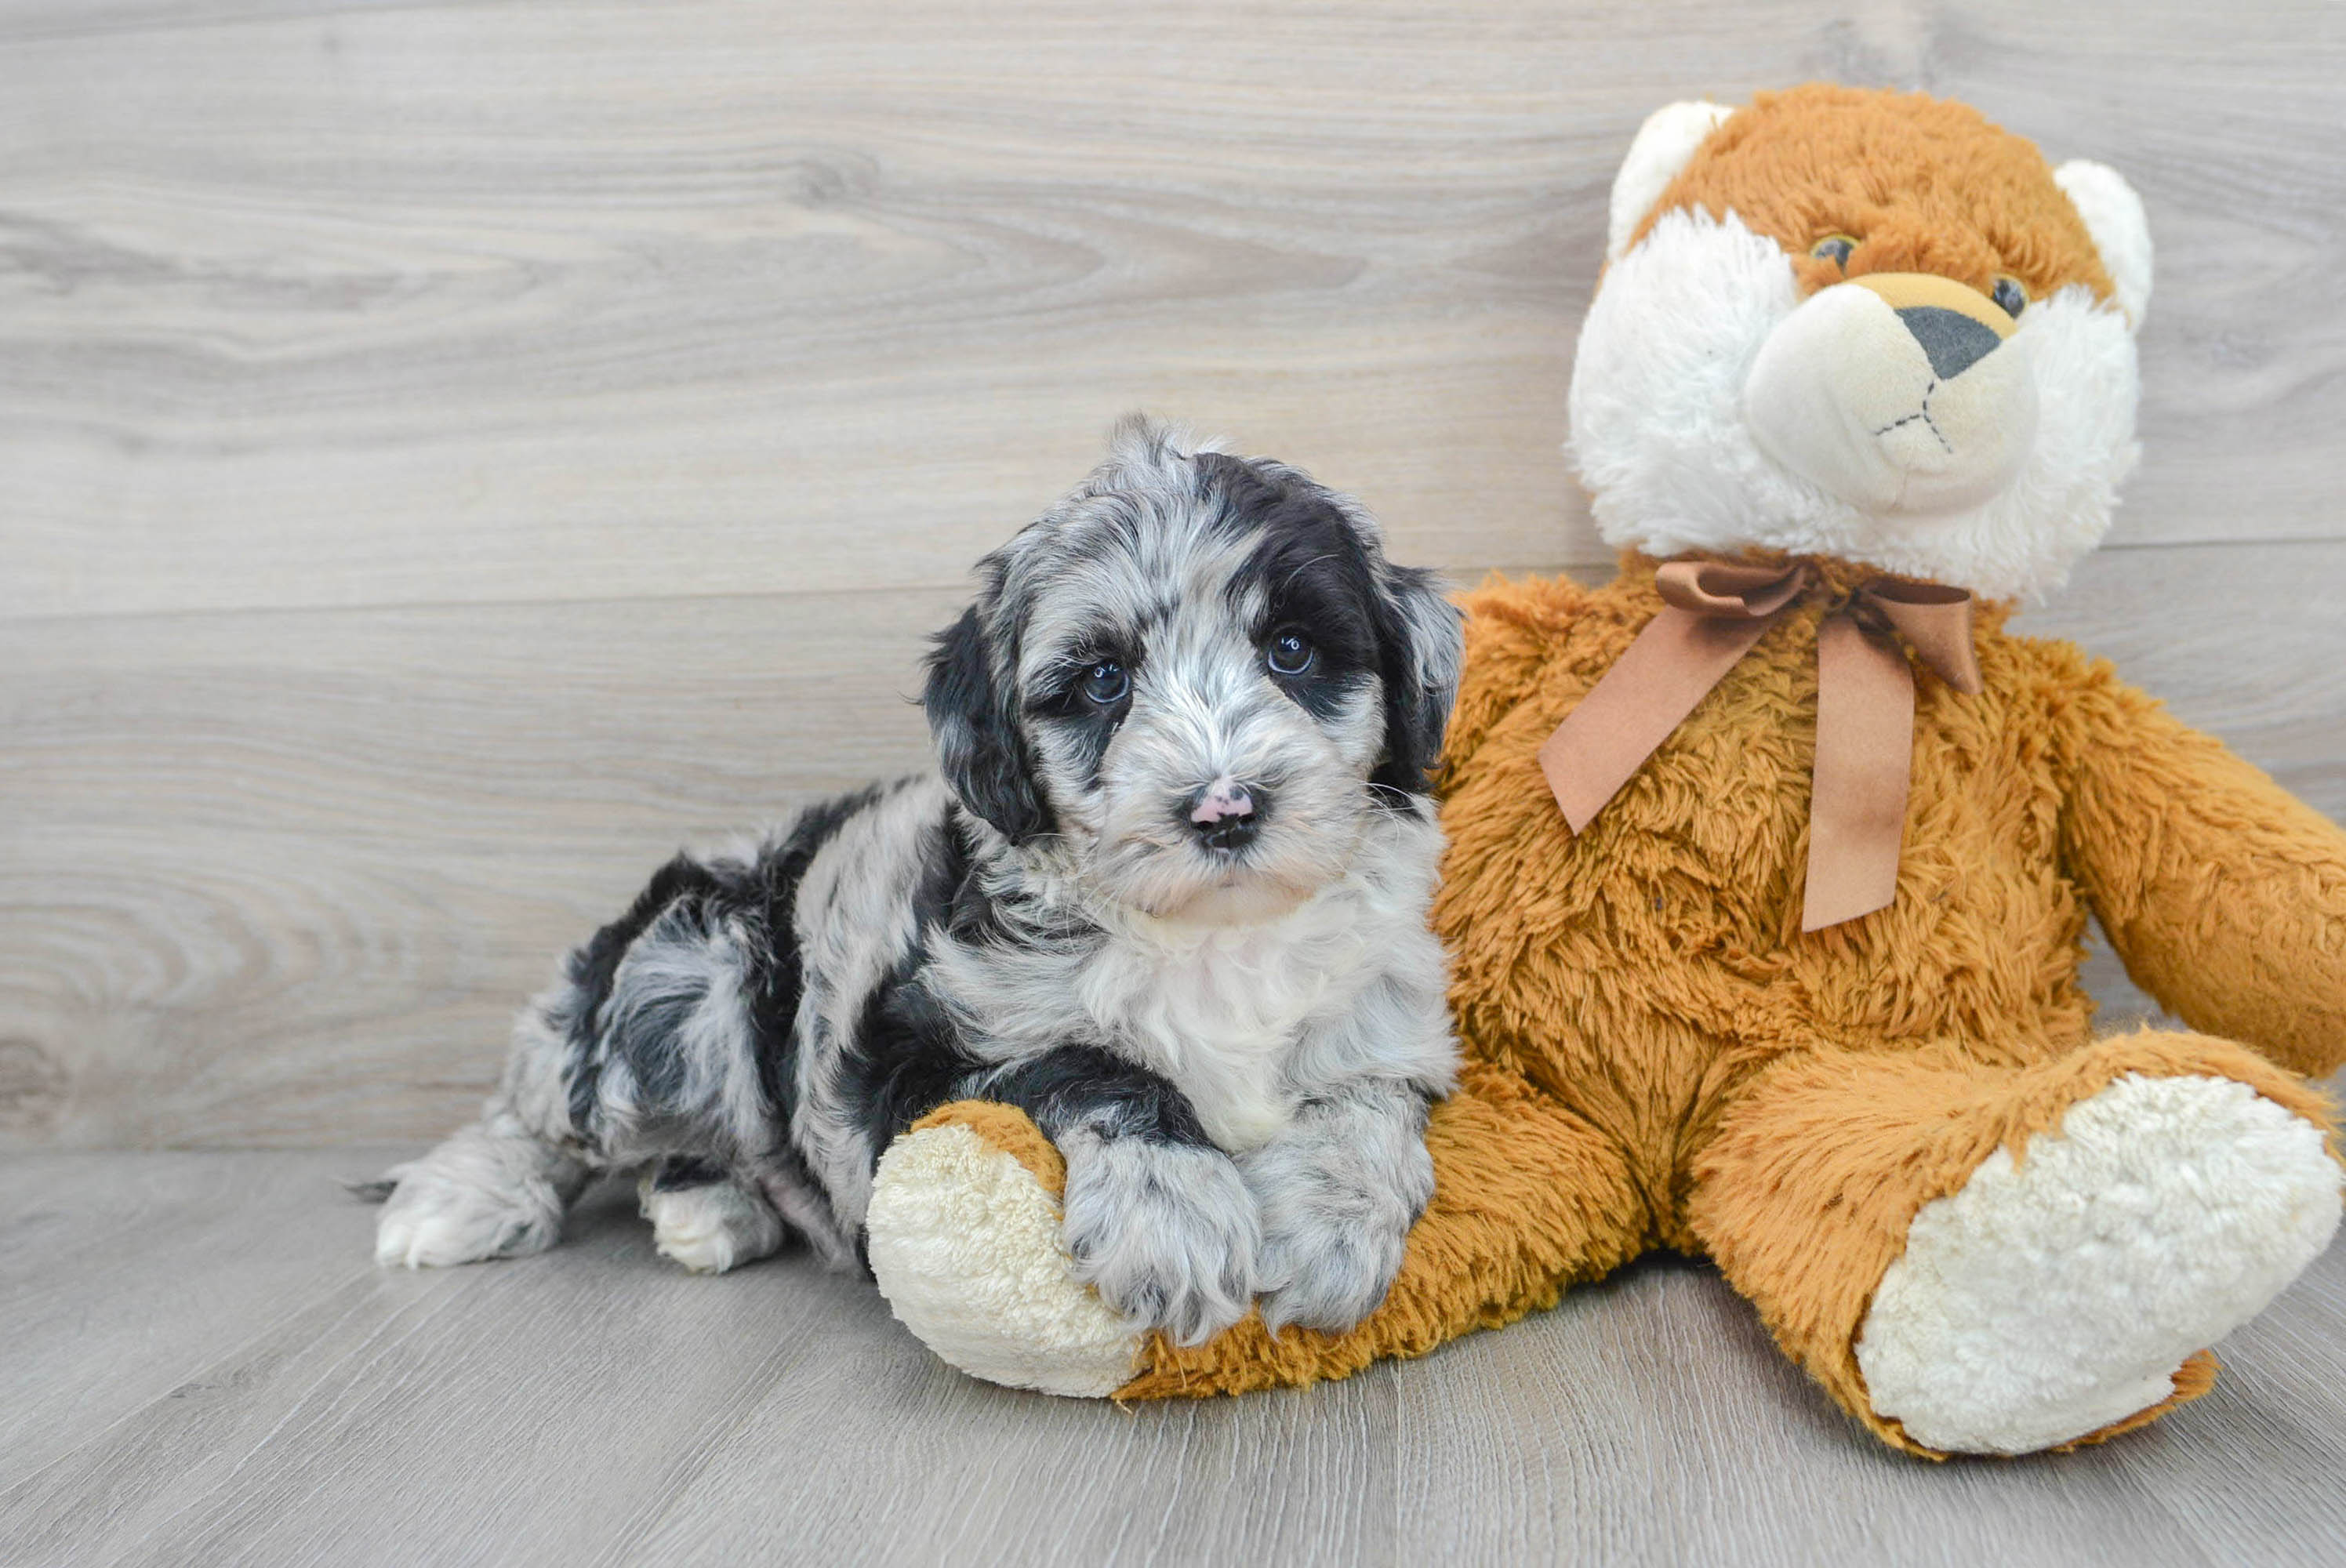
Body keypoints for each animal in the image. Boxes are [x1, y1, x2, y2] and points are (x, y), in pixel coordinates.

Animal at [361, 419, 1464, 1352]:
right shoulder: (907, 1059)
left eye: (1292, 649)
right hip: (689, 966)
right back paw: (466, 1198)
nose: (1224, 807)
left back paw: (710, 1207)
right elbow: (1091, 1062)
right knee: (550, 1103)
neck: (1211, 937)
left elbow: (1368, 1097)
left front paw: (1326, 1227)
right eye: (1103, 679)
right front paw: (1172, 1212)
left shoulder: (1390, 1019)